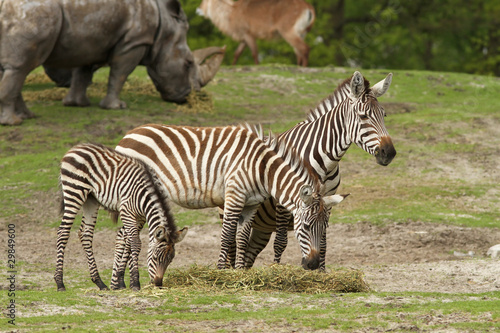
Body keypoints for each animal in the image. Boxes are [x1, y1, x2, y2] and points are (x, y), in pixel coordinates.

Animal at [53, 143, 188, 290]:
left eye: (170, 260)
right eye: (155, 257)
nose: (158, 284)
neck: (145, 196)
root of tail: (75, 148)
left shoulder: (140, 218)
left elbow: (128, 241)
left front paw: (120, 281)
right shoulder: (126, 212)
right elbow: (135, 243)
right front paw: (135, 282)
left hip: (91, 199)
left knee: (85, 234)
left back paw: (99, 282)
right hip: (74, 192)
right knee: (63, 232)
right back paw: (60, 282)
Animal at [238, 71, 398, 268]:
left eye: (384, 115)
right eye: (363, 117)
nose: (389, 153)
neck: (325, 163)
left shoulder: (327, 201)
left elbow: (322, 243)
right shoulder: (283, 201)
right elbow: (281, 242)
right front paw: (277, 269)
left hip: (262, 226)